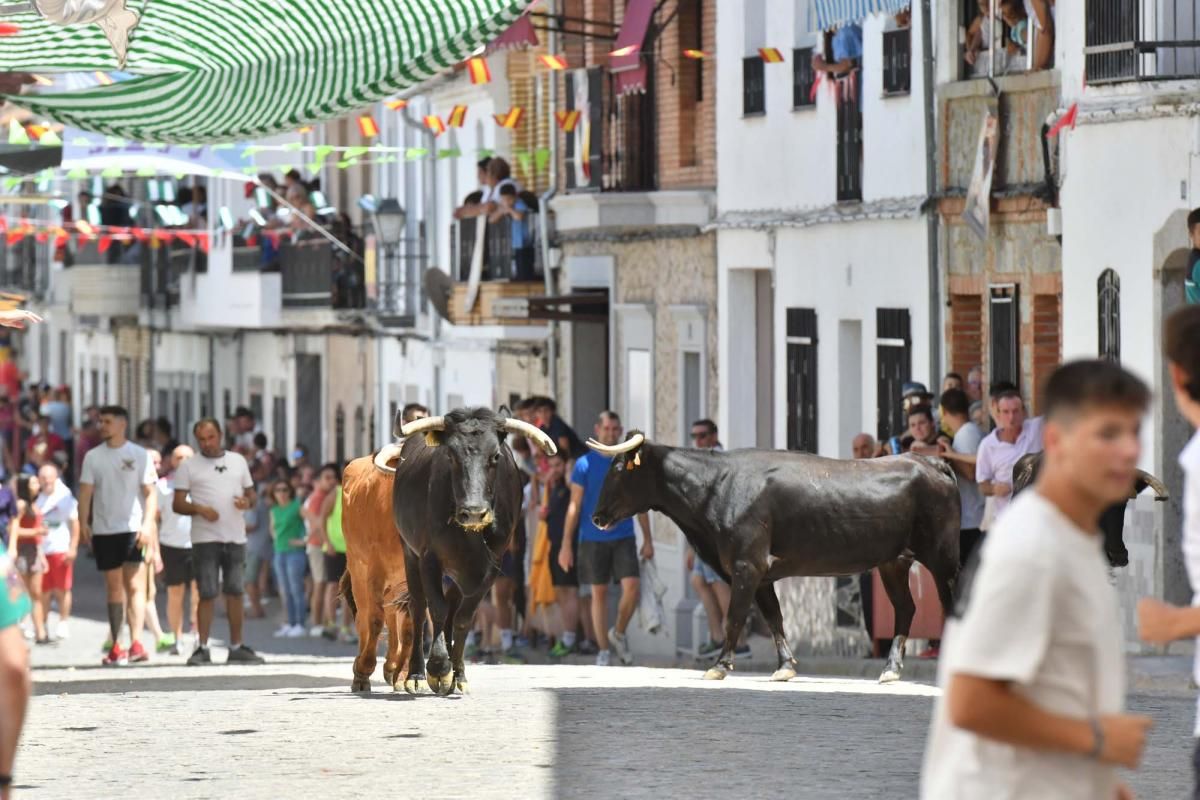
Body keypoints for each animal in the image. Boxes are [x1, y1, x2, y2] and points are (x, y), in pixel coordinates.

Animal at [391, 407, 554, 695]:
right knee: (419, 607)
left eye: (496, 456)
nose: (474, 512)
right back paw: (416, 675)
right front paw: (438, 669)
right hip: (409, 552)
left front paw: (458, 675)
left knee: (452, 605)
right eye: (450, 455)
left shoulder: (492, 566)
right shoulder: (429, 558)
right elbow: (437, 609)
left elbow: (463, 618)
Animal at [585, 434, 960, 686]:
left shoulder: (746, 566)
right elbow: (774, 618)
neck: (715, 488)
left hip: (942, 557)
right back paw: (890, 669)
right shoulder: (761, 575)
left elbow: (734, 617)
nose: (597, 517)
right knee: (906, 608)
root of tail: (930, 461)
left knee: (950, 604)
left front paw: (720, 665)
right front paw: (785, 666)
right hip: (893, 561)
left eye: (618, 468)